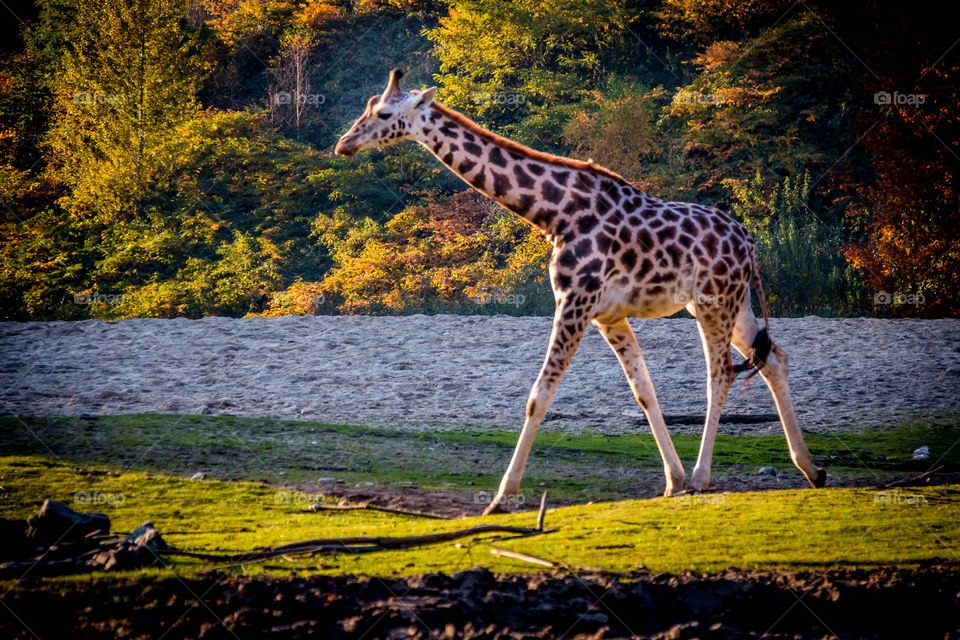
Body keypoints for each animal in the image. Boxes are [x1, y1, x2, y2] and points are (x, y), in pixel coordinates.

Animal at [335, 69, 826, 515]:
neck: (554, 214)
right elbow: (644, 391)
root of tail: (749, 241)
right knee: (774, 358)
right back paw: (811, 469)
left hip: (713, 301)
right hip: (731, 301)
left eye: (383, 113)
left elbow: (539, 396)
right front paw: (672, 480)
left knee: (720, 374)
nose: (344, 144)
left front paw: (501, 497)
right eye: (367, 107)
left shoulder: (574, 302)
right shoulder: (607, 314)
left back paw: (705, 477)